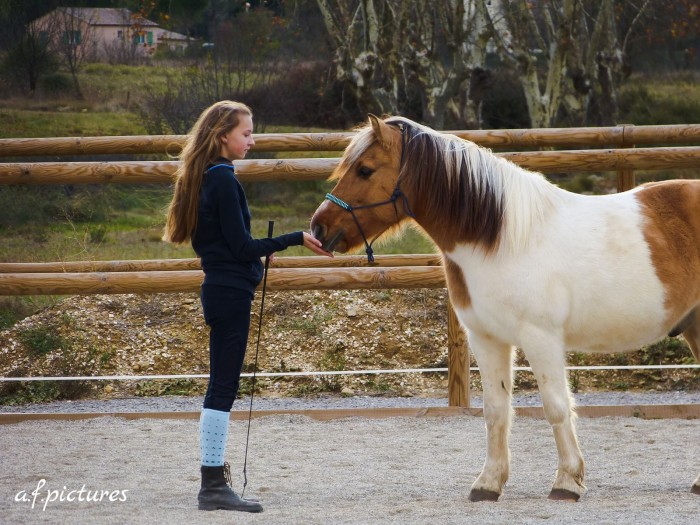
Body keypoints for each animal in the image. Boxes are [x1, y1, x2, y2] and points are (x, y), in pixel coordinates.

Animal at [312, 113, 700, 500]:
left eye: (365, 169)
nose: (319, 228)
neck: (501, 241)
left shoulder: (541, 338)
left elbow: (556, 406)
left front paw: (567, 481)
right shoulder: (487, 338)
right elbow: (496, 410)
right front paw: (489, 483)